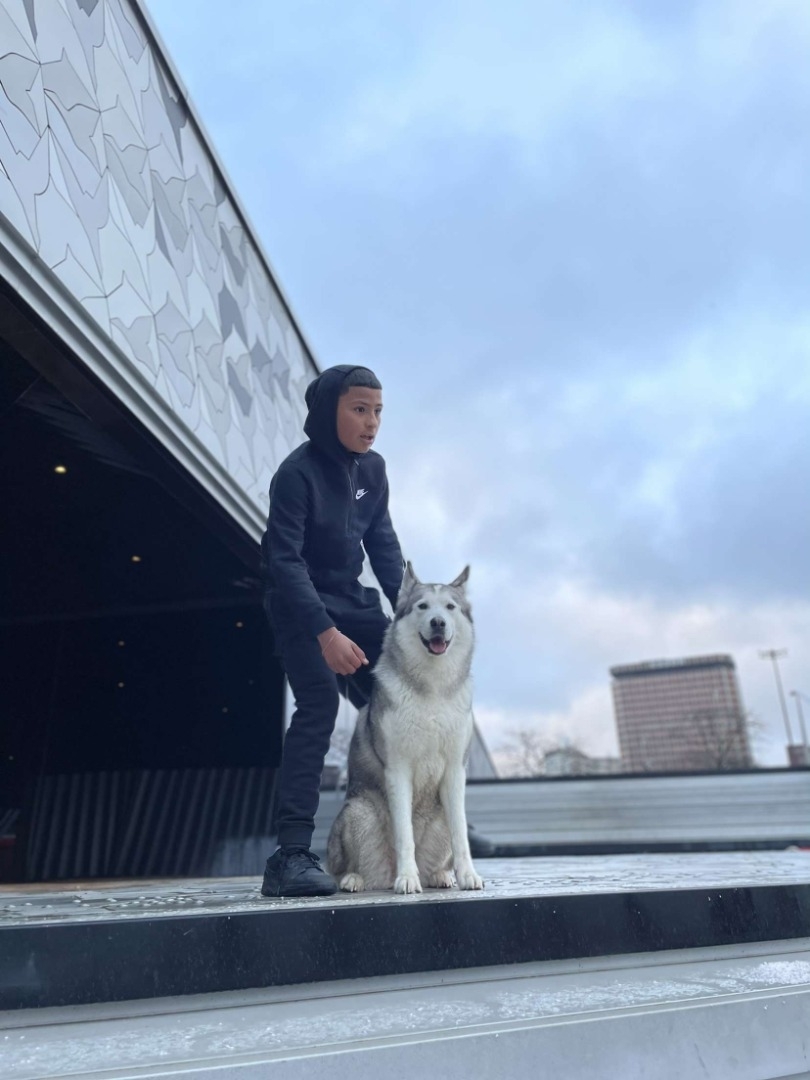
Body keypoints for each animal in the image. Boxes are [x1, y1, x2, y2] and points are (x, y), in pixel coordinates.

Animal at [327, 562, 484, 894]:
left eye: (450, 607)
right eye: (422, 606)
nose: (438, 622)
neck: (432, 688)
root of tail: (383, 875)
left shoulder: (455, 770)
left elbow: (461, 837)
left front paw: (468, 875)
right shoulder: (398, 769)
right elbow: (404, 834)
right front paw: (407, 877)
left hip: (439, 818)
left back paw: (439, 875)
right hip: (357, 811)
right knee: (344, 868)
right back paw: (356, 878)